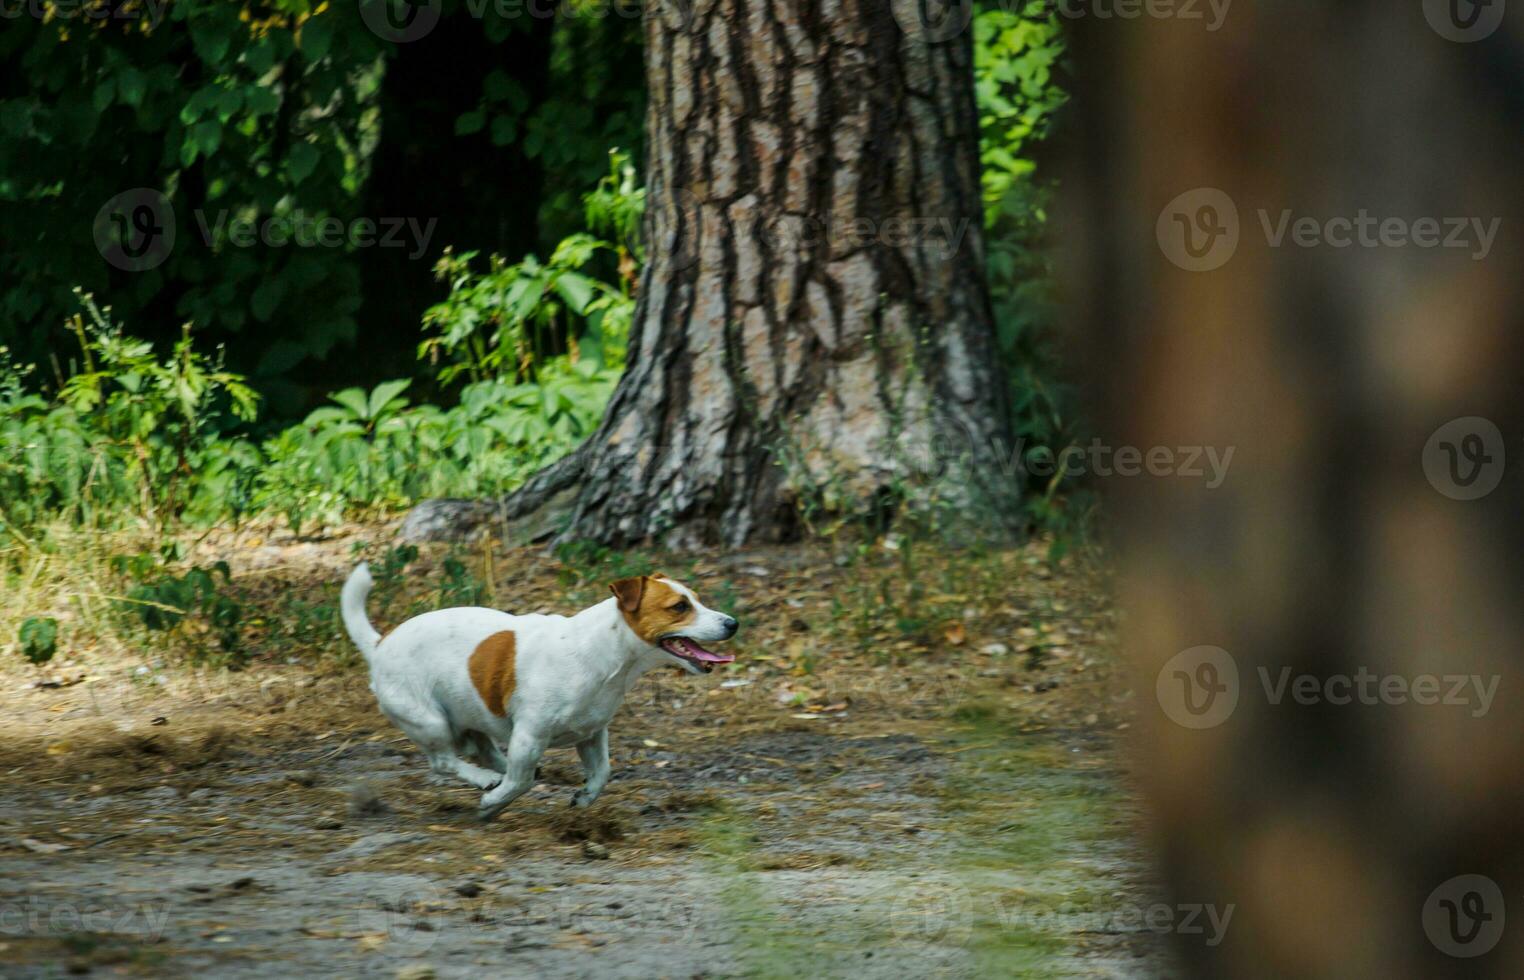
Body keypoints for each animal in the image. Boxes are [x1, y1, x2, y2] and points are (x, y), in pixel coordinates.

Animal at [338, 563, 737, 823]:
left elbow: (602, 772)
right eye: (679, 607)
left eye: (698, 600)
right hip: (430, 721)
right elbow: (521, 781)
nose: (733, 623)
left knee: (481, 749)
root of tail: (379, 644)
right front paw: (494, 800)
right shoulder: (530, 734)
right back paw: (485, 780)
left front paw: (584, 796)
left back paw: (497, 770)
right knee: (444, 761)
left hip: (472, 714)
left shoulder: (592, 733)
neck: (603, 655)